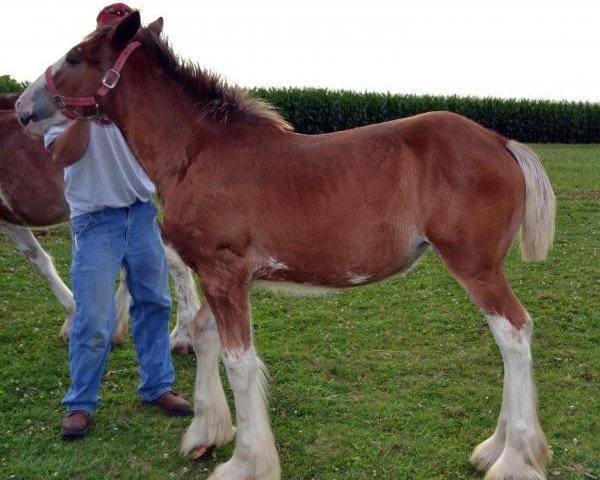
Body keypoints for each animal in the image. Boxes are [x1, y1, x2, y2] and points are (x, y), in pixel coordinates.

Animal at [16, 13, 556, 478]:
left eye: (75, 57)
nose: (22, 107)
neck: (197, 152)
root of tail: (502, 142)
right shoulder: (220, 277)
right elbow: (204, 336)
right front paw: (206, 434)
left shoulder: (223, 275)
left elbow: (239, 363)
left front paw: (245, 463)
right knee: (511, 338)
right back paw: (497, 449)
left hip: (475, 266)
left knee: (514, 335)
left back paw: (513, 459)